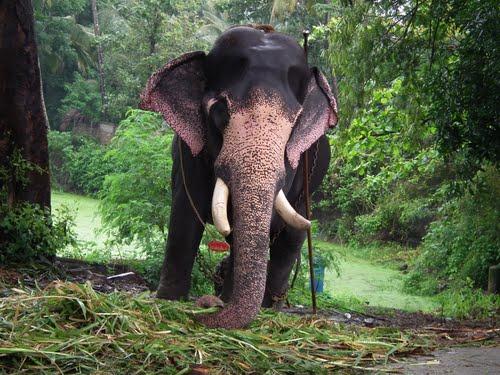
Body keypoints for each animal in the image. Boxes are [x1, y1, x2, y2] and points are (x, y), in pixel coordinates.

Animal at [139, 24, 338, 328]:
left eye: (295, 124)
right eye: (220, 112)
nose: (207, 303)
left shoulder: (296, 163)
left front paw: (224, 299)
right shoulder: (188, 149)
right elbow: (186, 211)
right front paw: (168, 300)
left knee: (292, 236)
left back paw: (270, 307)